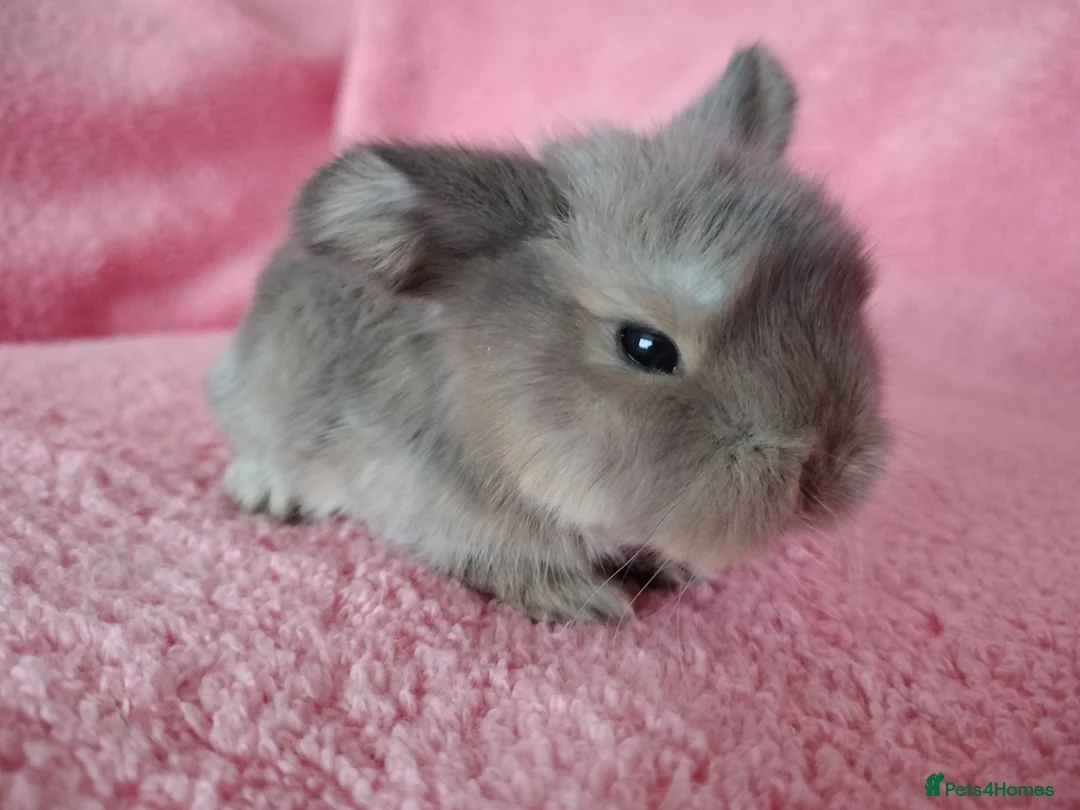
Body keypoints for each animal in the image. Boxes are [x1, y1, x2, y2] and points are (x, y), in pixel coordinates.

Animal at [206, 44, 889, 623]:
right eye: (646, 347)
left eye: (853, 298)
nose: (826, 473)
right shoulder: (445, 519)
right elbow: (504, 566)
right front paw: (585, 602)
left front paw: (672, 568)